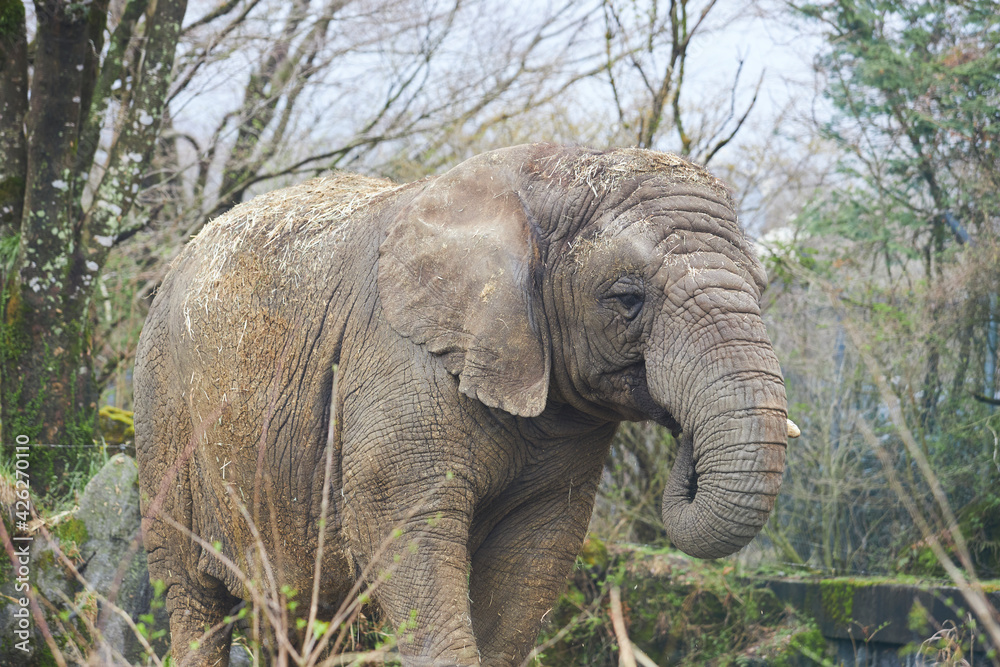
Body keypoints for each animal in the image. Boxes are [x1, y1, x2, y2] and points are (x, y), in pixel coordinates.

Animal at [133, 143, 796, 666]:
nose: (684, 438)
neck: (549, 177)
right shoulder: (398, 363)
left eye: (763, 290)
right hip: (161, 412)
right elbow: (402, 532)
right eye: (627, 298)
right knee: (193, 598)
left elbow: (533, 556)